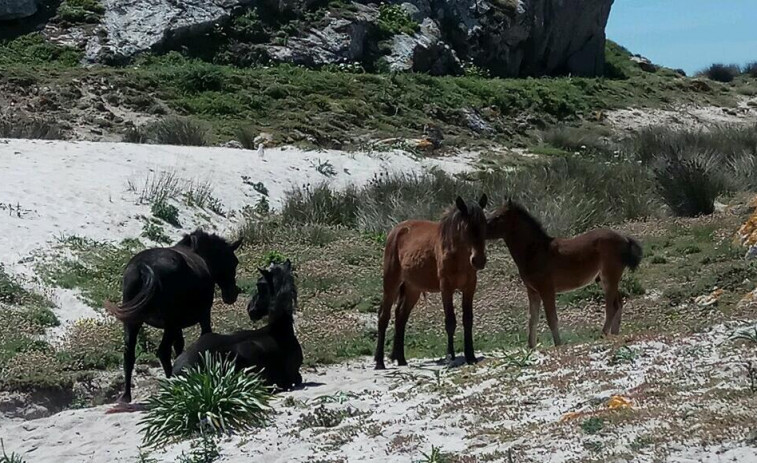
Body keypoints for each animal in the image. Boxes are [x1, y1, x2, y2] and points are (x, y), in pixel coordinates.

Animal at [106, 230, 241, 404]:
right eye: (234, 262)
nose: (233, 294)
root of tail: (144, 267)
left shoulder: (177, 326)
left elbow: (179, 347)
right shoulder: (203, 316)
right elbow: (203, 337)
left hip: (134, 323)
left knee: (129, 355)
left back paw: (126, 396)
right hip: (168, 323)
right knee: (163, 352)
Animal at [374, 195, 490, 370]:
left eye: (484, 224)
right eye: (466, 228)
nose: (479, 260)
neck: (457, 254)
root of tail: (396, 230)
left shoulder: (470, 287)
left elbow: (468, 320)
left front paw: (471, 356)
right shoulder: (446, 288)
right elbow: (450, 321)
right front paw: (450, 357)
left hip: (412, 288)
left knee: (401, 316)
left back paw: (401, 359)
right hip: (391, 282)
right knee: (384, 316)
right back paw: (379, 362)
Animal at [484, 201, 644, 350]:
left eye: (498, 217)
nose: (482, 230)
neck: (536, 251)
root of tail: (624, 239)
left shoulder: (547, 289)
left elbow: (551, 318)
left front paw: (558, 344)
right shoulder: (532, 291)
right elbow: (532, 319)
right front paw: (530, 347)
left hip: (609, 277)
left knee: (611, 307)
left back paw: (603, 335)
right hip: (607, 280)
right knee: (619, 303)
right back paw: (615, 335)